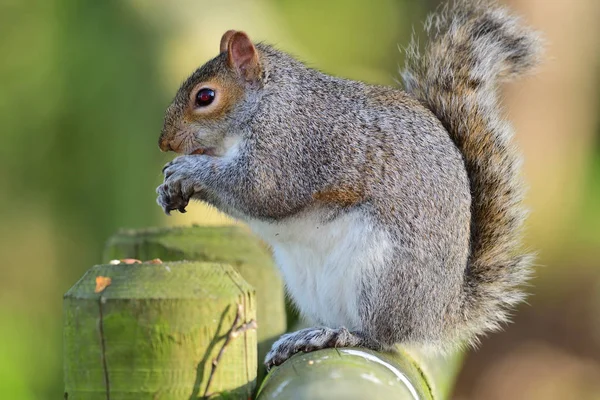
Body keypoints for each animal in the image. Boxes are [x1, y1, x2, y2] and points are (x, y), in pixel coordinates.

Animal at [157, 0, 540, 368]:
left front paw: (188, 169)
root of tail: (437, 314)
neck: (266, 102)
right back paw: (302, 337)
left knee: (382, 337)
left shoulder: (291, 146)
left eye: (205, 97)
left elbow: (261, 191)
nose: (165, 143)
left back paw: (338, 336)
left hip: (380, 278)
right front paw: (169, 187)